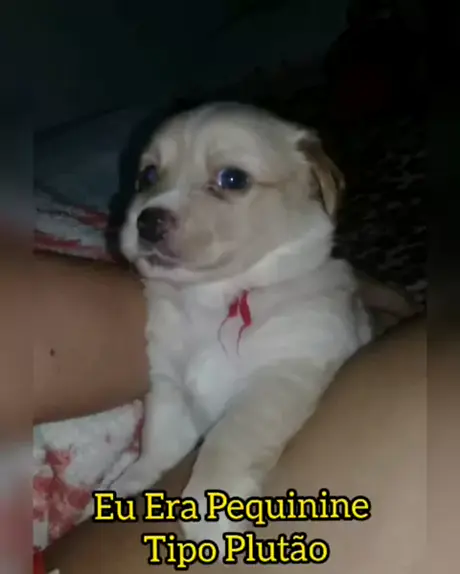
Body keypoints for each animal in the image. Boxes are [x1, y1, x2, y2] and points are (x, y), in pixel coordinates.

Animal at [112, 102, 373, 548]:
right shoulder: (171, 389)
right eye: (147, 175)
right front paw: (131, 481)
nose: (147, 222)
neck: (213, 301)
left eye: (232, 179)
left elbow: (227, 440)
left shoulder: (279, 378)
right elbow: (157, 442)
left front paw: (208, 511)